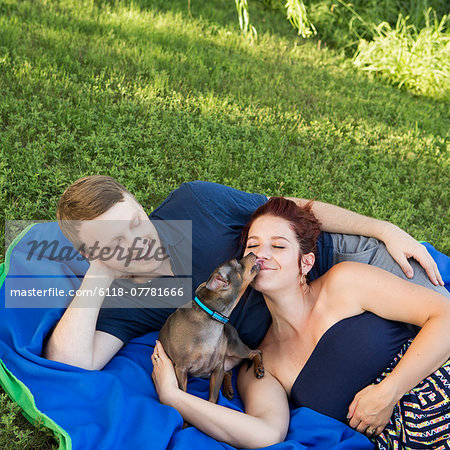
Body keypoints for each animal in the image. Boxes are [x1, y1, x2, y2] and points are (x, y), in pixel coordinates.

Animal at [157, 253, 264, 404]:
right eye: (237, 262)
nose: (253, 253)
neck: (213, 320)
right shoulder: (181, 369)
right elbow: (182, 392)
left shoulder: (217, 368)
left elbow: (212, 399)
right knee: (230, 370)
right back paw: (228, 389)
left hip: (235, 349)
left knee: (255, 352)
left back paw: (258, 368)